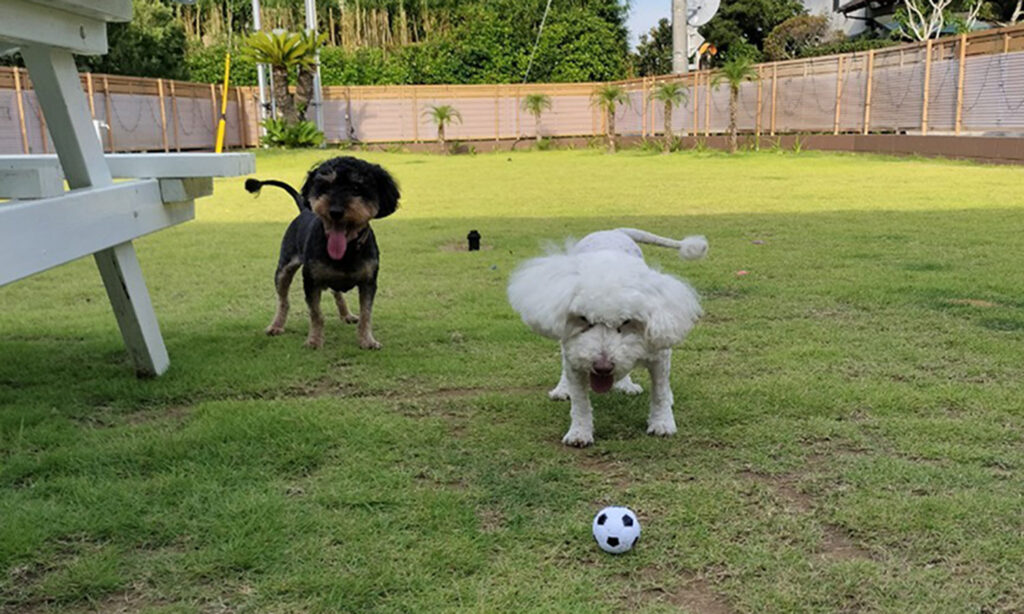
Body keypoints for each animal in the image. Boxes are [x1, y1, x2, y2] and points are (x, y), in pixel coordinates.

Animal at [243, 157, 399, 349]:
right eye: (325, 186)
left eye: (357, 187)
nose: (335, 211)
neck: (346, 250)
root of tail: (304, 209)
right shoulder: (311, 282)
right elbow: (316, 314)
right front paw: (314, 341)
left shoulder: (368, 283)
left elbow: (366, 313)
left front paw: (367, 340)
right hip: (283, 270)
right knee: (283, 300)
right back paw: (276, 325)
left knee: (337, 293)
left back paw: (346, 315)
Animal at [507, 228, 708, 448]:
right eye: (584, 319)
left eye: (627, 321)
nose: (602, 367)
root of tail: (613, 230)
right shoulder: (575, 360)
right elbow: (580, 402)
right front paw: (579, 432)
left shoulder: (660, 355)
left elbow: (660, 392)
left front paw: (662, 423)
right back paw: (562, 389)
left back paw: (626, 385)